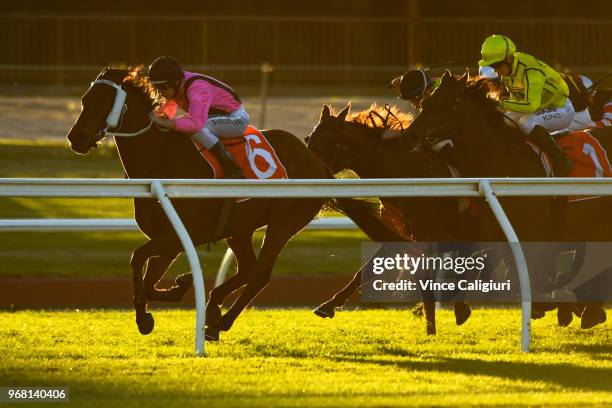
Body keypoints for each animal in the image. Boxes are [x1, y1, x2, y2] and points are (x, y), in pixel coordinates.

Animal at [64, 67, 394, 342]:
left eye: (103, 101)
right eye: (84, 99)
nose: (75, 138)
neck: (161, 161)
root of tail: (316, 162)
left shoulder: (179, 235)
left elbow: (138, 261)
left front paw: (152, 312)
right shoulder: (168, 238)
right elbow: (147, 276)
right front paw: (172, 293)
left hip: (283, 223)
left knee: (260, 274)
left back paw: (219, 322)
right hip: (239, 228)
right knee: (247, 269)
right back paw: (213, 309)